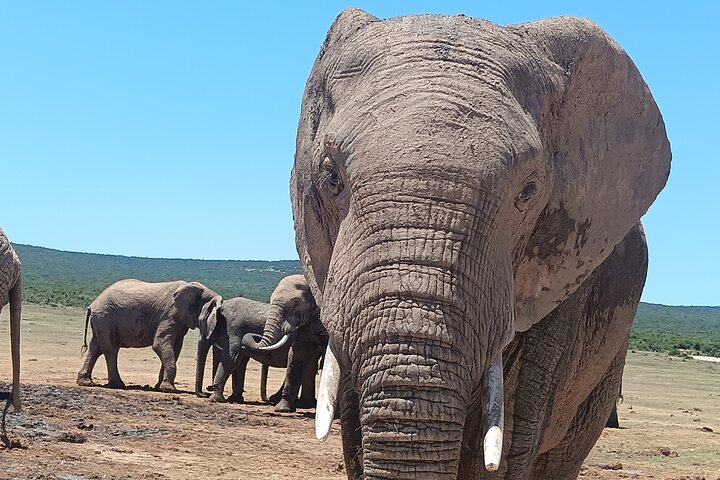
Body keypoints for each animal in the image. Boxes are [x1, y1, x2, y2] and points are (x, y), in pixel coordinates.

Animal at [77, 279, 218, 391]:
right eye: (204, 318)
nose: (208, 389)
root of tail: (92, 304)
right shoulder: (169, 315)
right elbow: (160, 344)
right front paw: (168, 389)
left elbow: (176, 348)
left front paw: (159, 387)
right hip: (105, 318)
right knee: (110, 349)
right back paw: (117, 385)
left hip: (101, 320)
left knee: (95, 348)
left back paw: (86, 383)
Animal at [196, 274, 327, 412]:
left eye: (199, 322)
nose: (207, 390)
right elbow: (239, 361)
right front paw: (234, 399)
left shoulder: (233, 328)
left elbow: (231, 357)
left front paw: (215, 399)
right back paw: (301, 403)